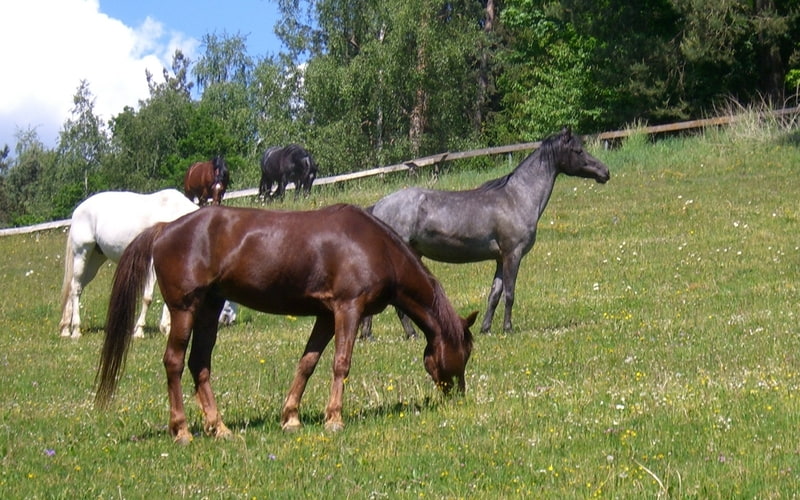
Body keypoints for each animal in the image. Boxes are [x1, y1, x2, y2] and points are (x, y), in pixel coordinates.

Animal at [59, 189, 199, 339]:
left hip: (94, 260)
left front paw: (166, 328)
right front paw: (139, 331)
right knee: (76, 288)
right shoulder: (151, 265)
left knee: (73, 287)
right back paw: (76, 330)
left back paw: (66, 328)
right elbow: (147, 297)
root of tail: (78, 210)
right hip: (82, 254)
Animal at [95, 204, 476, 443]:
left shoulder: (326, 315)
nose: (458, 395)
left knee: (199, 363)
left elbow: (308, 362)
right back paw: (182, 430)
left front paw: (291, 417)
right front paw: (334, 419)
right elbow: (341, 363)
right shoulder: (348, 309)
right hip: (185, 309)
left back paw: (219, 428)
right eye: (466, 352)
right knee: (173, 362)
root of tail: (163, 229)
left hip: (209, 308)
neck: (375, 247)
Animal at [360, 127, 610, 338]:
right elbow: (509, 293)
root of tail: (377, 207)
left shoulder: (500, 258)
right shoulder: (513, 255)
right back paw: (399, 334)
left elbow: (494, 294)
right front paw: (508, 328)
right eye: (578, 150)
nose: (605, 172)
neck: (516, 198)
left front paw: (486, 328)